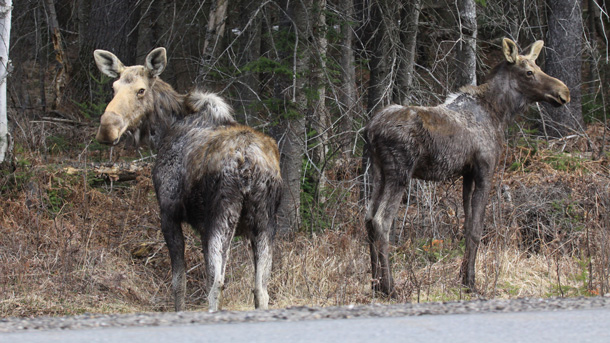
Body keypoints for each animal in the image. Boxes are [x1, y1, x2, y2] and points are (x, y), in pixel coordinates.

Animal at [93, 47, 282, 314]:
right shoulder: (203, 227)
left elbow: (178, 283)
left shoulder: (168, 213)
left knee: (217, 284)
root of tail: (248, 165)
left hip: (222, 216)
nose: (107, 129)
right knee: (261, 289)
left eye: (141, 90)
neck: (164, 130)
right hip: (264, 221)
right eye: (114, 87)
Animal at [364, 37, 568, 296]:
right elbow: (477, 228)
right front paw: (471, 282)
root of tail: (370, 130)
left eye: (539, 67)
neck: (499, 114)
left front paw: (464, 278)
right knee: (381, 221)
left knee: (368, 218)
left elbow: (468, 225)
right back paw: (389, 287)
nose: (564, 92)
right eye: (529, 72)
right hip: (399, 173)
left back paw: (374, 284)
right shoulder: (485, 168)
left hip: (377, 171)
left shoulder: (468, 174)